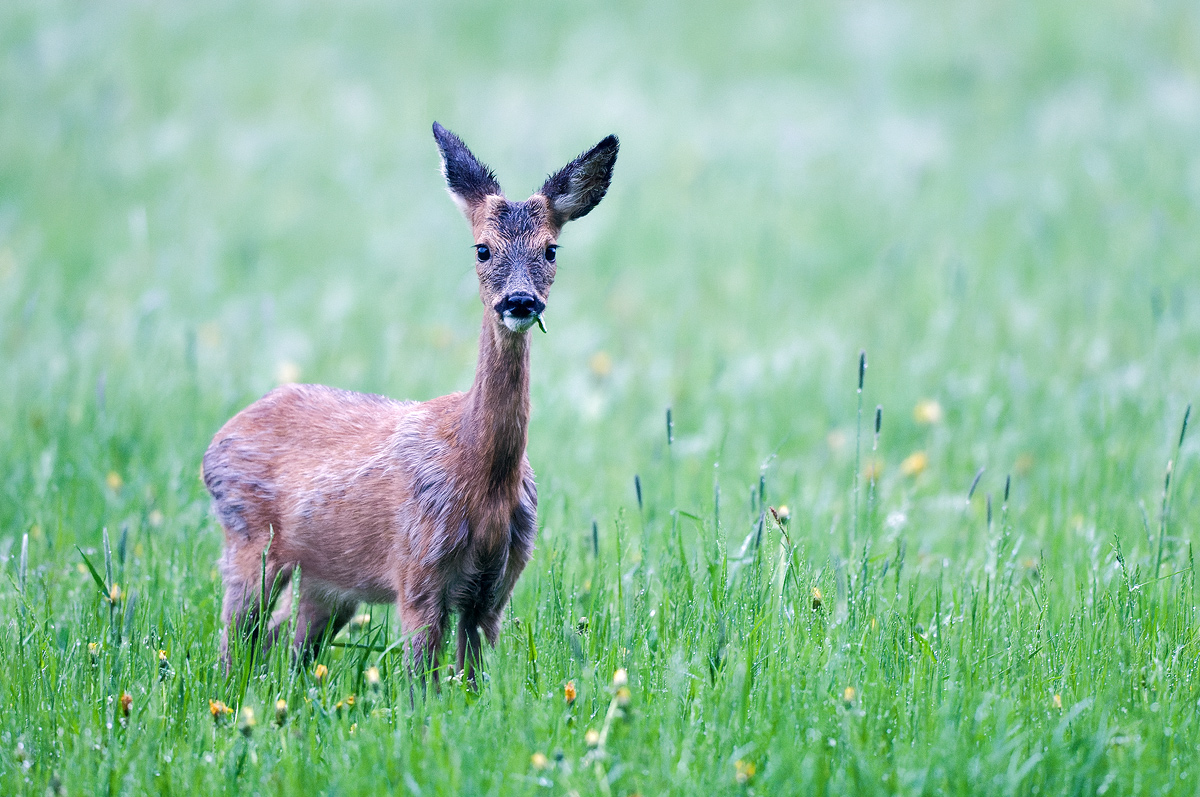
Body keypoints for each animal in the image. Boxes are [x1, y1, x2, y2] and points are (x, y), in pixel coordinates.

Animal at [202, 121, 619, 681]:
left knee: (287, 643)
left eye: (552, 250)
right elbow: (422, 682)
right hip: (249, 541)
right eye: (482, 249)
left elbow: (471, 682)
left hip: (328, 584)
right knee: (235, 641)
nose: (520, 301)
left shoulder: (495, 590)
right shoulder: (417, 572)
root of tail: (218, 440)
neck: (482, 478)